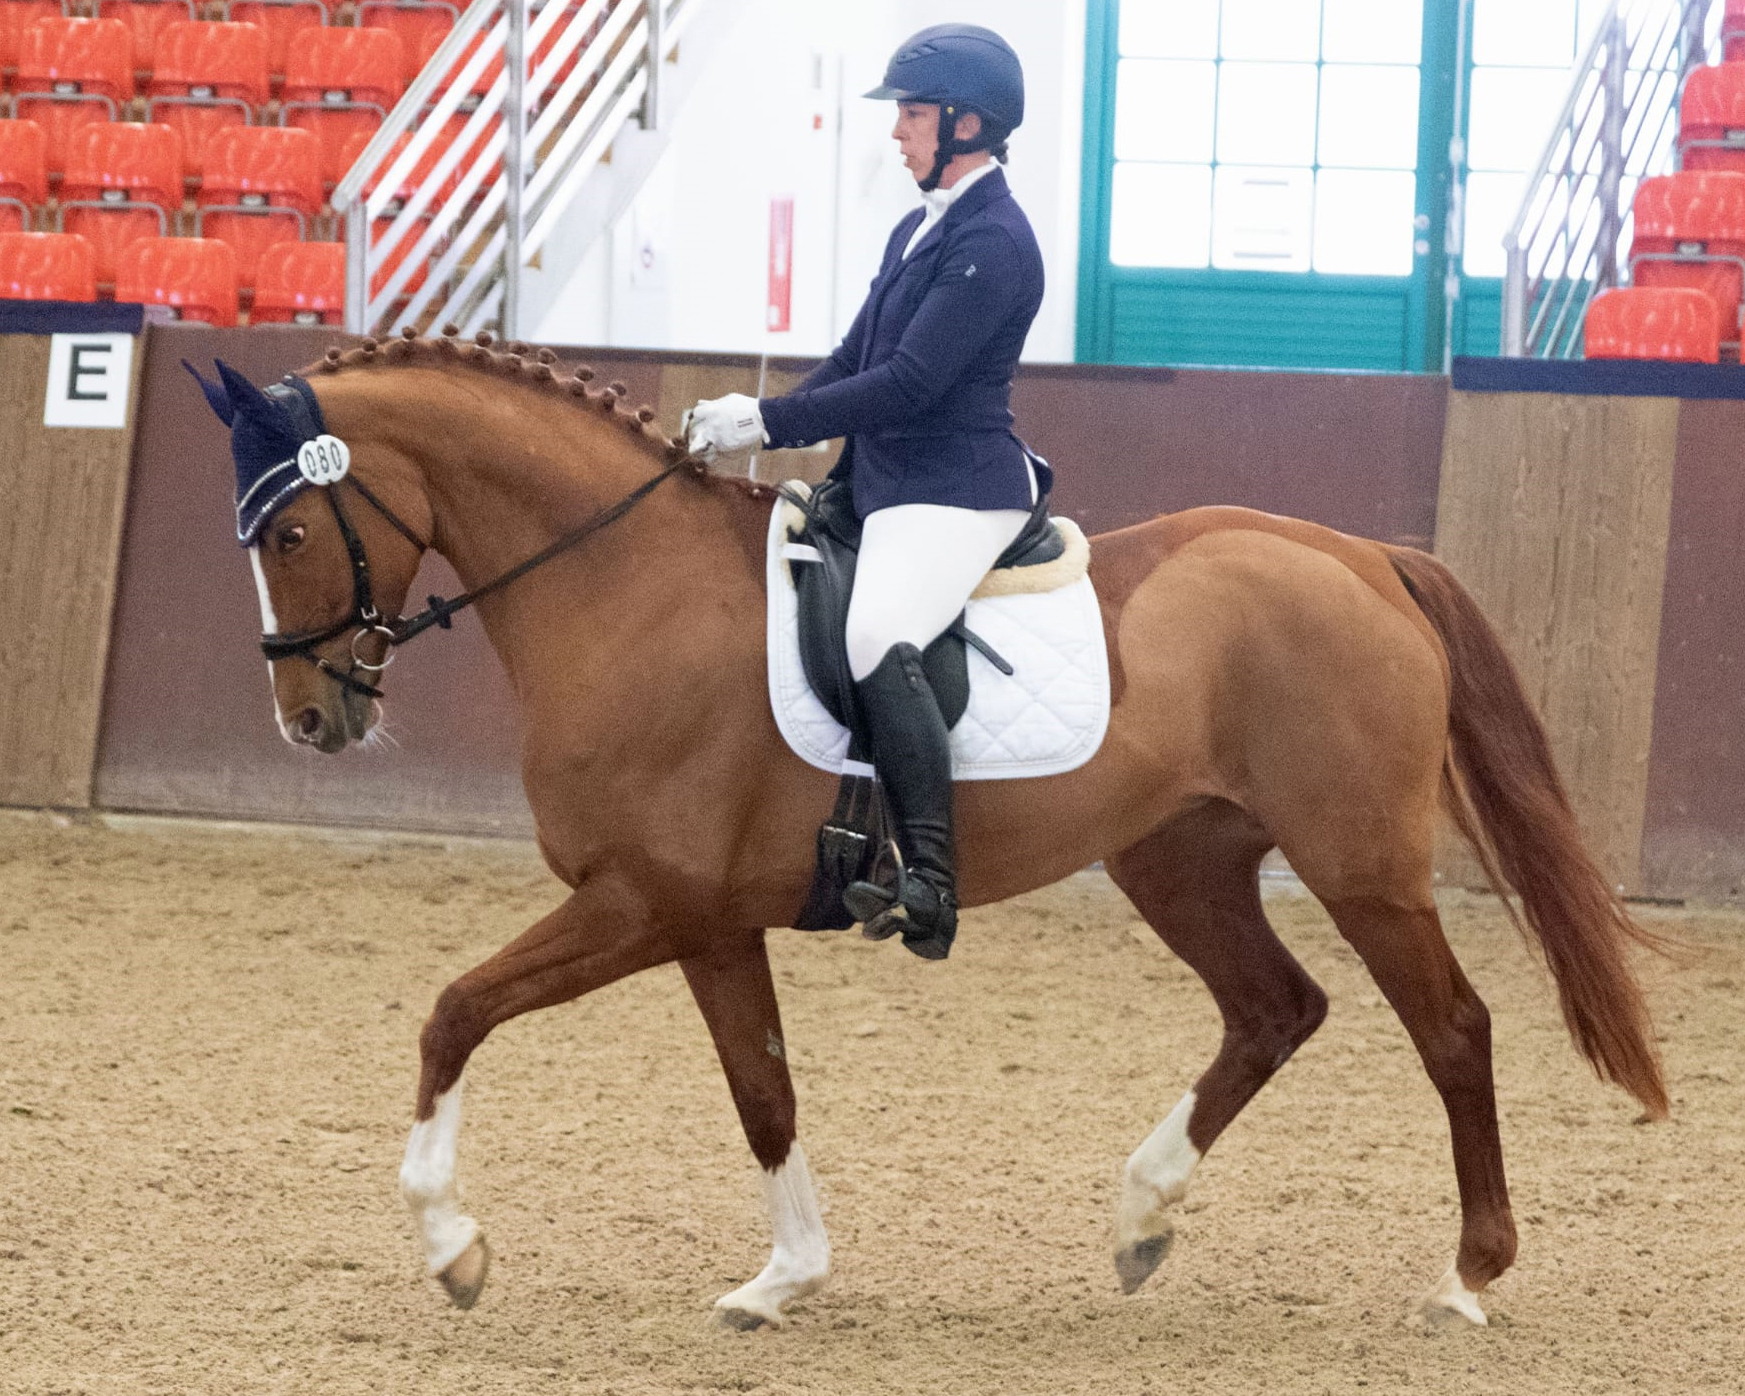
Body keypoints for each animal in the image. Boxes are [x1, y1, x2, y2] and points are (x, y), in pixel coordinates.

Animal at [208, 327, 1667, 1333]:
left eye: (290, 533)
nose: (308, 716)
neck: (622, 593)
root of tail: (1360, 557)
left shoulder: (639, 903)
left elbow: (453, 1012)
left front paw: (450, 1245)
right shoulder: (707, 922)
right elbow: (764, 1092)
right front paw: (783, 1279)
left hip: (1357, 864)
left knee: (1452, 1031)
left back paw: (1467, 1277)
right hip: (1178, 858)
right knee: (1273, 1009)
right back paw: (1140, 1217)